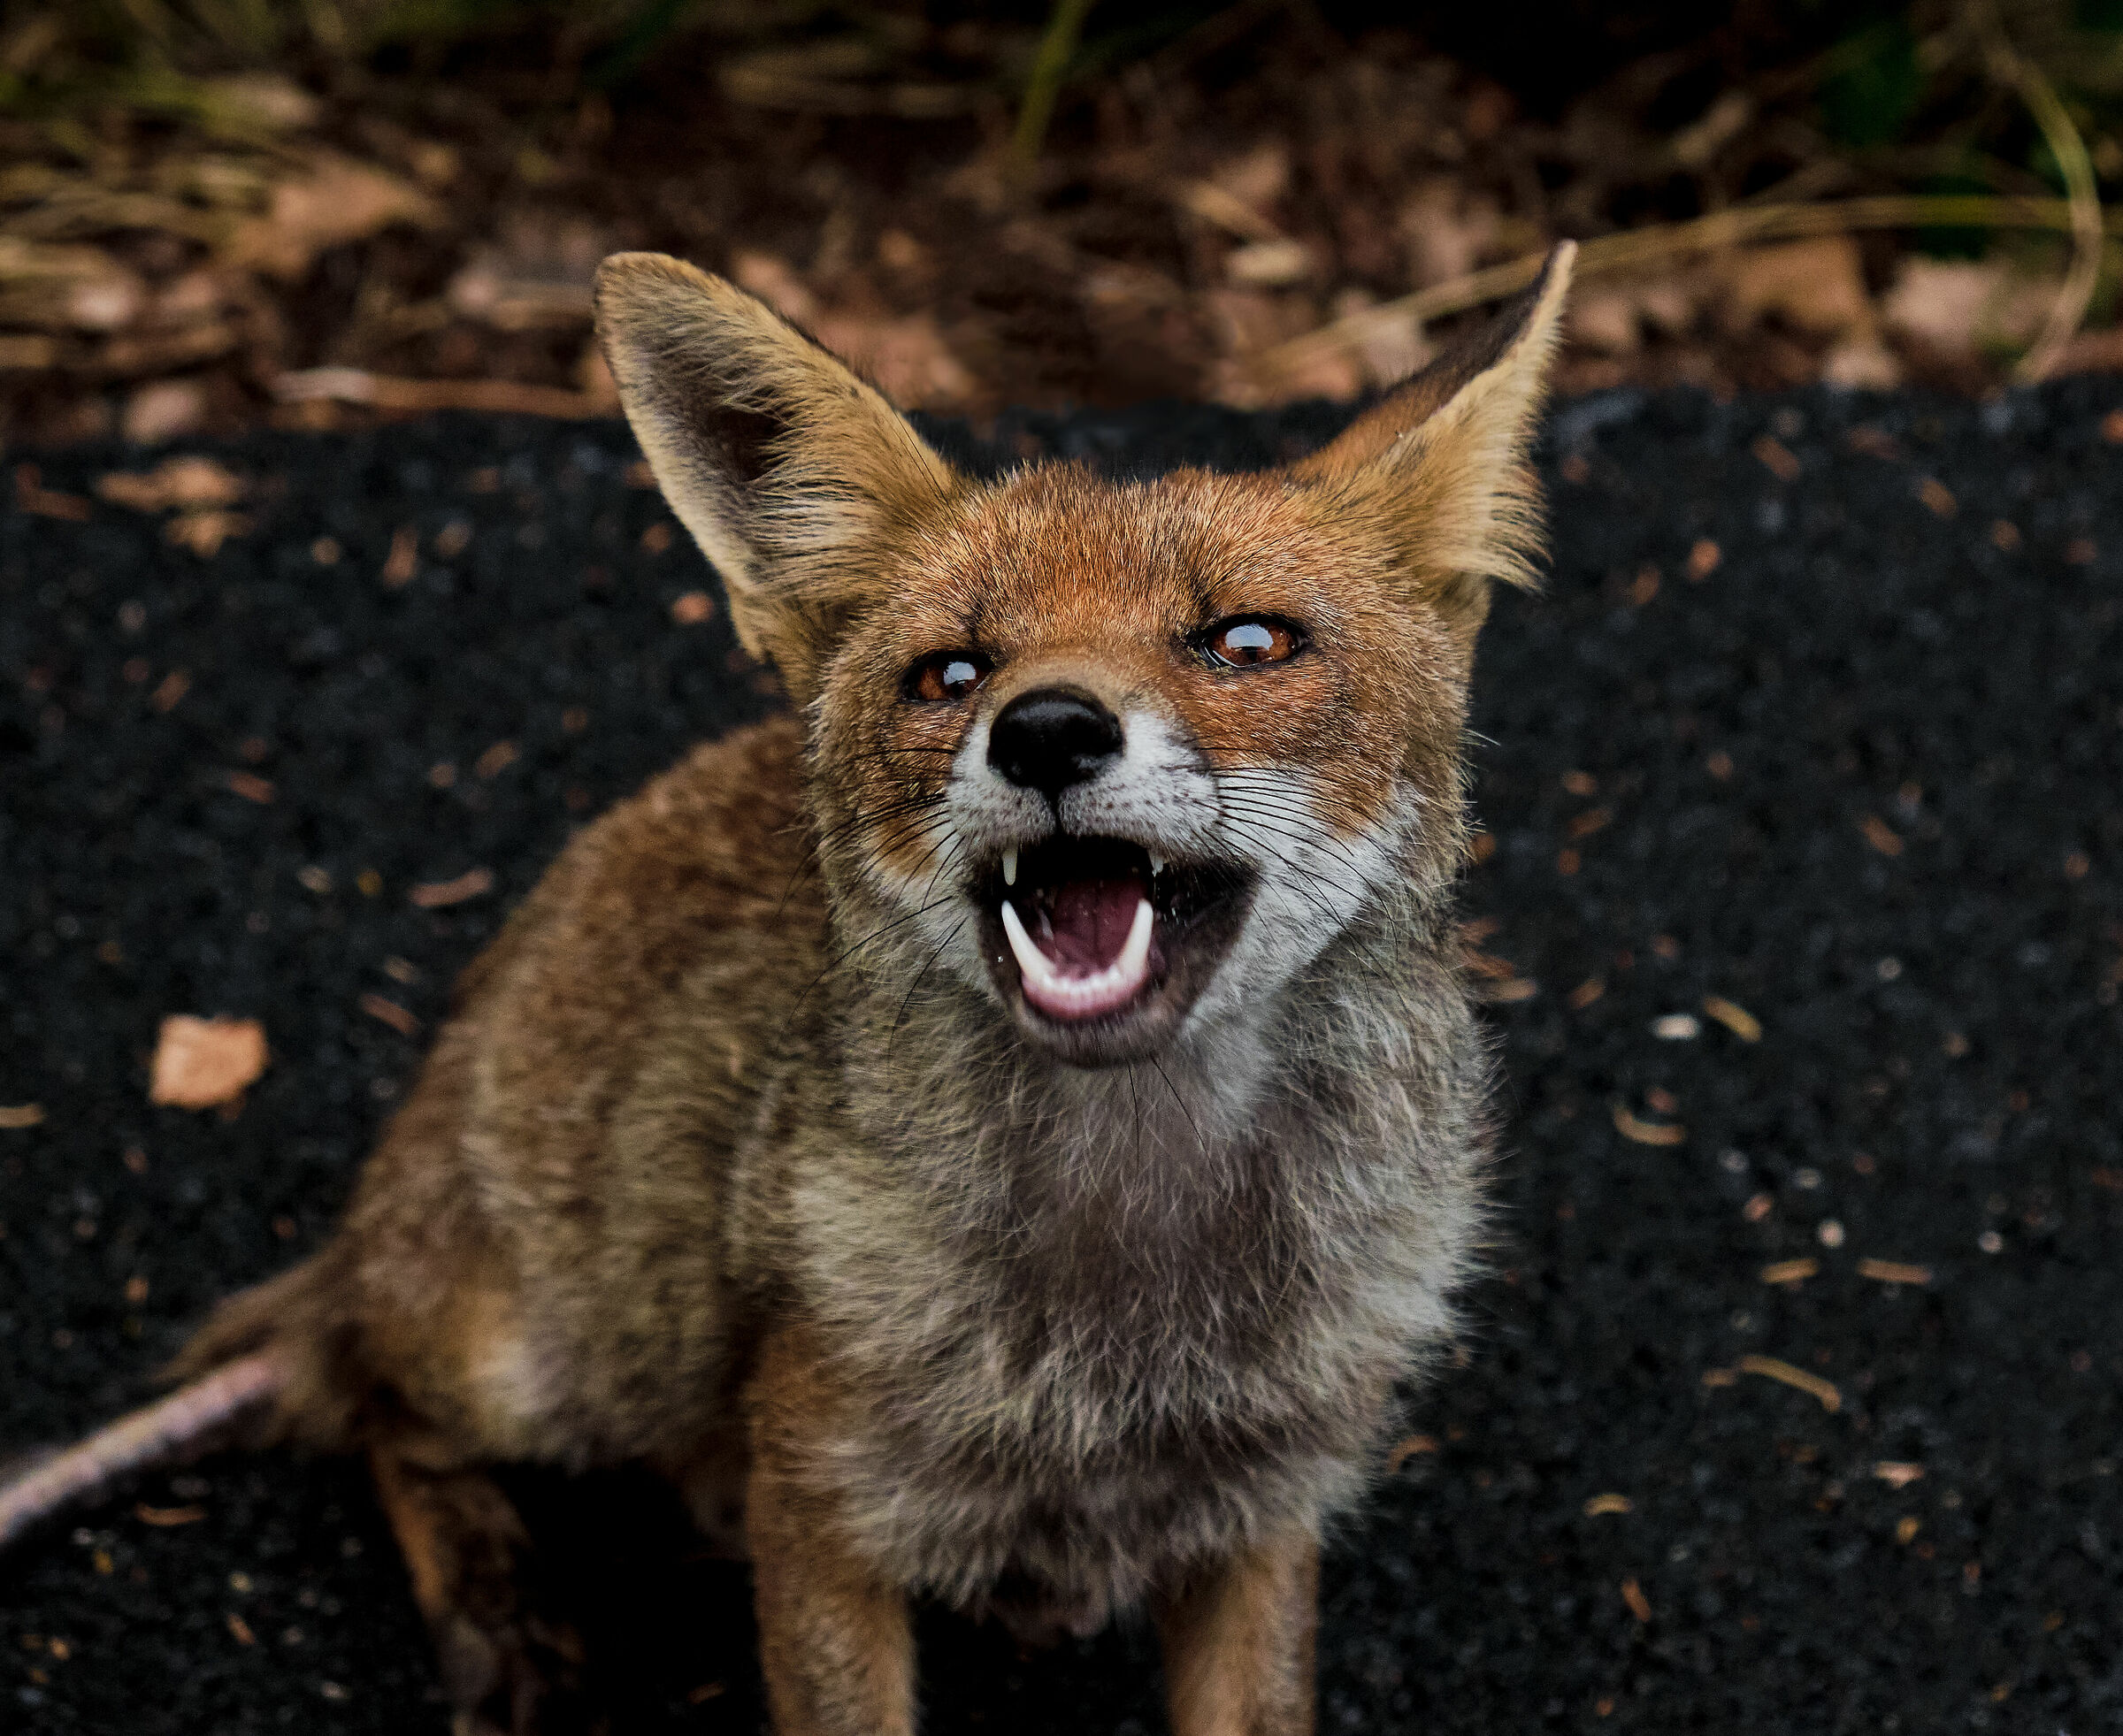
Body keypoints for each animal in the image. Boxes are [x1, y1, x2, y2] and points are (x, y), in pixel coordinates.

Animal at [1, 239, 1575, 1735]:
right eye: (952, 671)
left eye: (1246, 643)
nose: (1047, 729)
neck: (1129, 1312)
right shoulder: (821, 1495)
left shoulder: (1266, 1507)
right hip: (549, 1351)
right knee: (376, 1400)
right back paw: (500, 1605)